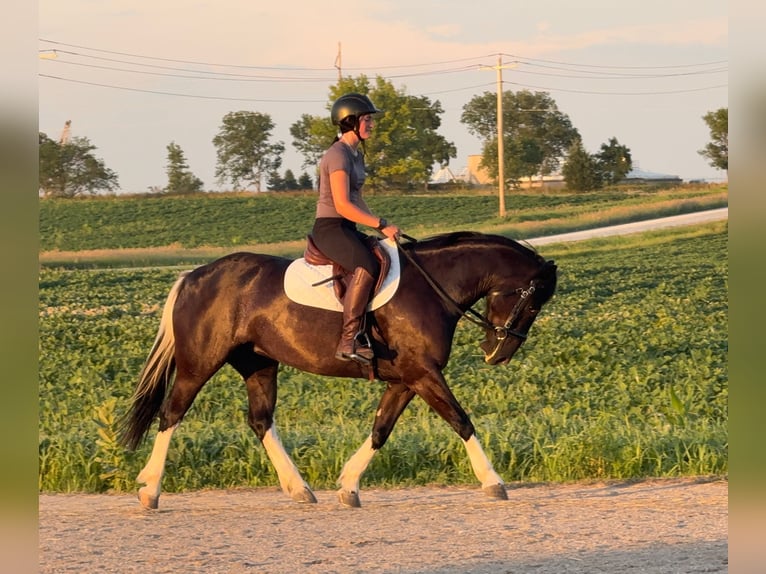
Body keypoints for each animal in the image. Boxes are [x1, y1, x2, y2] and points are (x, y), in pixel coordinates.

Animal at [119, 231, 557, 509]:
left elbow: (381, 429)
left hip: (259, 363)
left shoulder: (407, 379)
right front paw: (493, 482)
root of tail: (193, 276)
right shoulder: (423, 374)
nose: (497, 353)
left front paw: (348, 486)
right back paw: (150, 490)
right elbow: (462, 421)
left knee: (260, 421)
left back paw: (299, 489)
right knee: (171, 414)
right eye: (533, 300)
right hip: (199, 364)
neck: (432, 286)